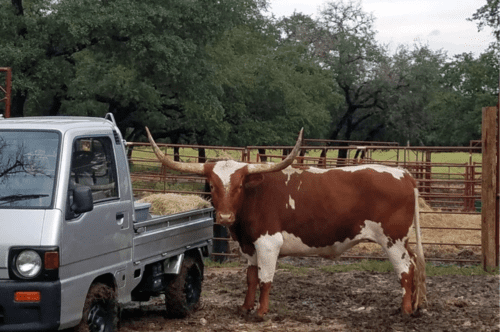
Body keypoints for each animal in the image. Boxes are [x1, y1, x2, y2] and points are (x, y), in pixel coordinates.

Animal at [145, 127, 426, 320]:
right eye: (212, 186)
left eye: (238, 186)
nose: (224, 217)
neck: (255, 196)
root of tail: (404, 174)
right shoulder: (249, 246)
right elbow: (250, 277)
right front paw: (245, 307)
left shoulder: (269, 243)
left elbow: (265, 278)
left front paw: (261, 312)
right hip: (402, 240)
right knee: (414, 264)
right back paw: (416, 305)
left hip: (392, 240)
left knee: (405, 269)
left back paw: (405, 310)